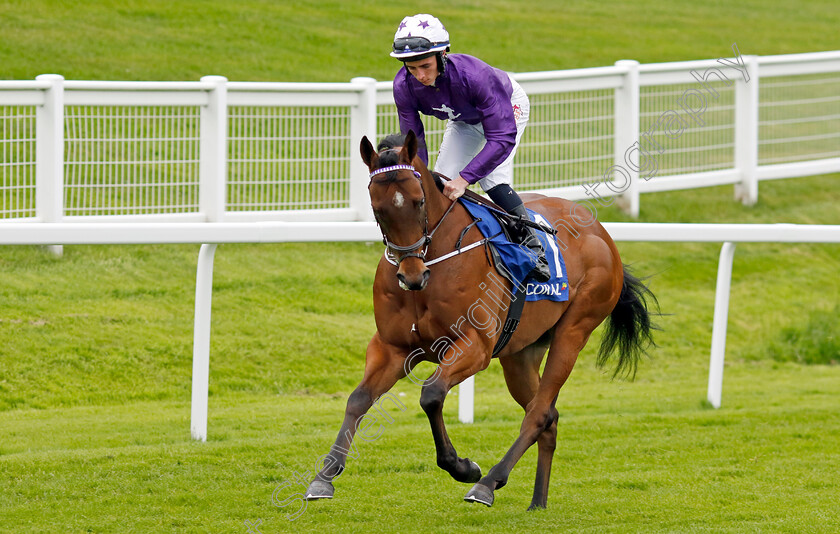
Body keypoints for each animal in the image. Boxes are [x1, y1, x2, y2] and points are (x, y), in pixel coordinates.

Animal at [306, 130, 660, 510]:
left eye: (418, 201)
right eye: (377, 208)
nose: (411, 275)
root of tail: (602, 233)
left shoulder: (474, 346)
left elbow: (431, 395)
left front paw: (463, 467)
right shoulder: (392, 347)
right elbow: (358, 399)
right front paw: (324, 476)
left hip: (573, 331)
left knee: (538, 413)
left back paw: (488, 483)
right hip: (520, 353)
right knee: (548, 416)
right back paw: (537, 501)